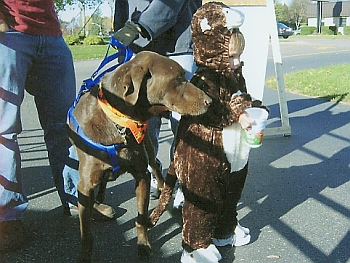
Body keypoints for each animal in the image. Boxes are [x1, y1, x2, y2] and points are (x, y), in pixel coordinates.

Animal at [67, 50, 212, 262]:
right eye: (178, 80)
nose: (210, 101)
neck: (118, 123)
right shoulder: (85, 186)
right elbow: (87, 233)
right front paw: (85, 255)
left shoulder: (142, 175)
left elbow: (141, 217)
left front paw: (143, 244)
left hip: (148, 148)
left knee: (156, 165)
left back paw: (161, 189)